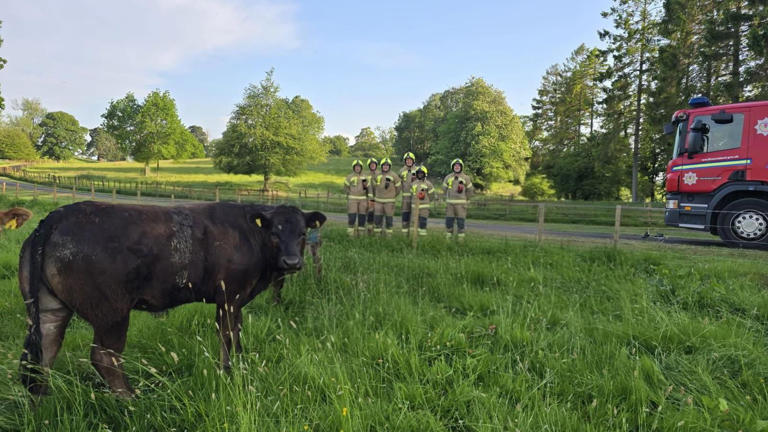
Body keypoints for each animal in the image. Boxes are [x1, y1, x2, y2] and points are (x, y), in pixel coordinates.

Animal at [18, 201, 326, 397]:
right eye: (274, 232)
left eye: (302, 233)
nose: (292, 262)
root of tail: (57, 216)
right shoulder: (229, 295)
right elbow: (227, 335)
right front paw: (227, 373)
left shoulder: (236, 300)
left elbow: (237, 333)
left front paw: (240, 366)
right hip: (112, 312)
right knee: (105, 358)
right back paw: (133, 401)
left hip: (49, 307)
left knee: (43, 354)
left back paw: (42, 405)